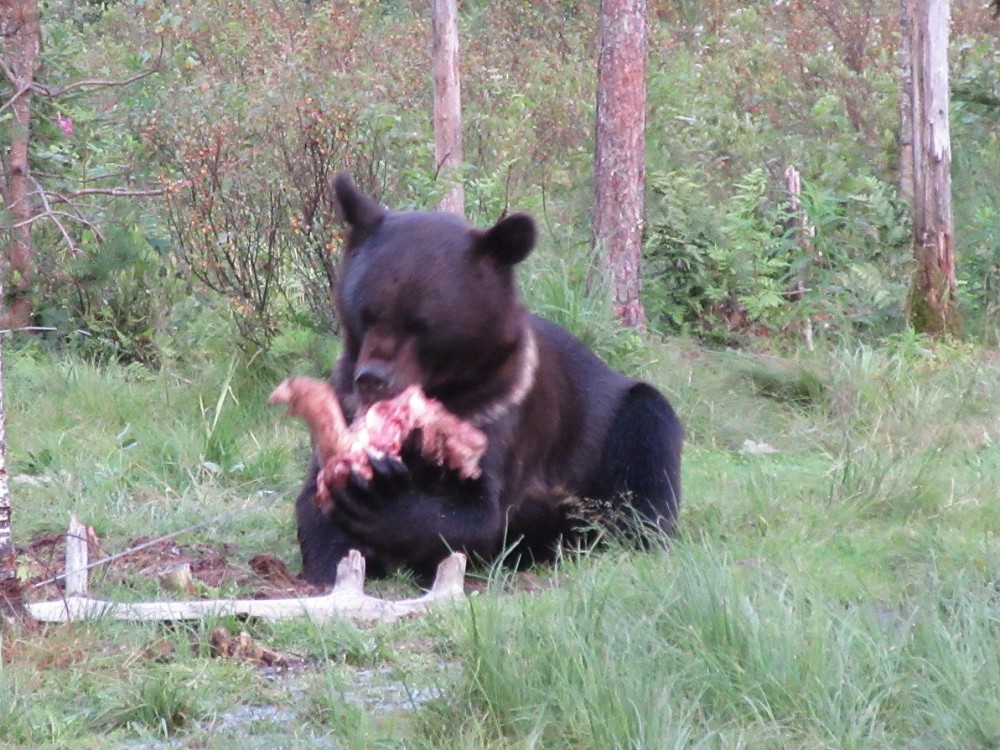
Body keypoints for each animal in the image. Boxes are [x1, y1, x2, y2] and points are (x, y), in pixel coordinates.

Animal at [292, 173, 680, 584]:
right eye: (367, 314)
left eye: (421, 325)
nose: (373, 379)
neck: (437, 394)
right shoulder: (344, 405)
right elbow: (314, 507)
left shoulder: (496, 410)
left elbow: (475, 513)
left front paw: (377, 497)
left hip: (618, 422)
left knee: (646, 463)